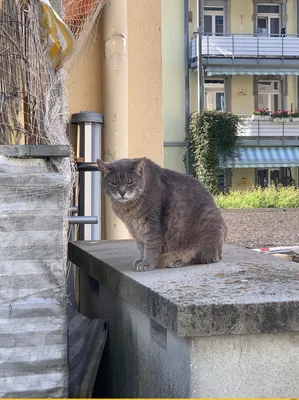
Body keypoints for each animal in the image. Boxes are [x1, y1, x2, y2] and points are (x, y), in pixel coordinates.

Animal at [98, 156, 227, 272]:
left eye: (130, 182)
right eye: (113, 183)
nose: (122, 192)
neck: (127, 208)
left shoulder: (152, 225)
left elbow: (150, 246)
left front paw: (147, 263)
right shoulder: (135, 229)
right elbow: (141, 247)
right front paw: (141, 260)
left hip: (208, 221)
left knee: (201, 256)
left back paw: (176, 260)